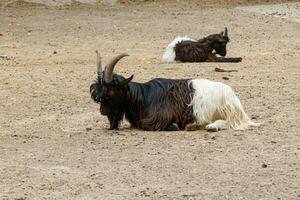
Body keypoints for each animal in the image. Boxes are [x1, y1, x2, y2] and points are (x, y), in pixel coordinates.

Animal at [90, 50, 258, 131]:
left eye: (111, 91)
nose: (103, 111)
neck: (143, 97)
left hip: (228, 112)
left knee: (231, 122)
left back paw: (207, 126)